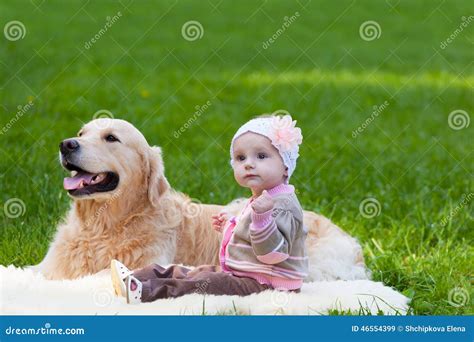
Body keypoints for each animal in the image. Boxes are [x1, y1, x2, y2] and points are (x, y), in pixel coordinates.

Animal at [33, 118, 368, 280]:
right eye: (81, 133)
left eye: (111, 138)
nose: (66, 144)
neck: (103, 227)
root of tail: (353, 243)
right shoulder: (47, 268)